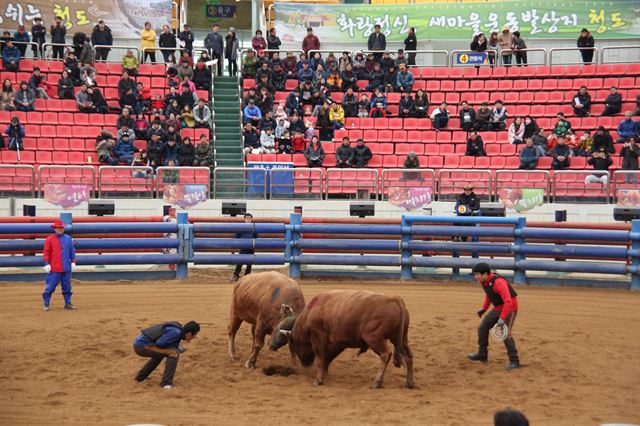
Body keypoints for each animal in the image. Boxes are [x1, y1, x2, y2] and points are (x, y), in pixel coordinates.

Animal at [266, 292, 412, 388]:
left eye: (294, 344)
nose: (305, 364)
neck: (309, 314)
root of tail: (394, 299)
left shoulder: (318, 337)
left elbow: (320, 358)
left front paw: (318, 379)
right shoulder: (338, 342)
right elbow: (327, 358)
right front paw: (324, 374)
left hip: (375, 339)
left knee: (385, 354)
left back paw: (377, 382)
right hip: (401, 340)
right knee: (408, 356)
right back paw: (409, 383)